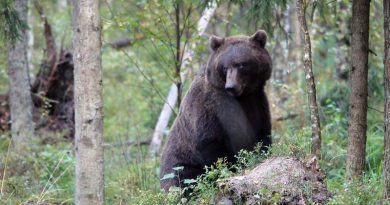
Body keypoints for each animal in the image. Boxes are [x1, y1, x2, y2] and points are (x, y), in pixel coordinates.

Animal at [160, 30, 272, 192]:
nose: (231, 86)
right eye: (225, 67)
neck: (241, 97)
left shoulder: (256, 102)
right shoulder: (209, 106)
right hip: (180, 163)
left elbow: (262, 133)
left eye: (242, 64)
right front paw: (229, 168)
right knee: (183, 178)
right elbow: (212, 143)